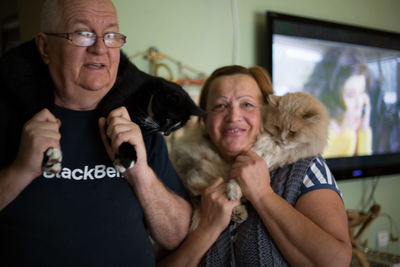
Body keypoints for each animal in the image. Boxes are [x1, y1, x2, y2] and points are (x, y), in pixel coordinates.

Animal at [170, 91, 330, 230]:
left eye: (292, 132)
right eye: (277, 127)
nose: (282, 139)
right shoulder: (251, 153)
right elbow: (235, 181)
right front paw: (233, 192)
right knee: (199, 190)